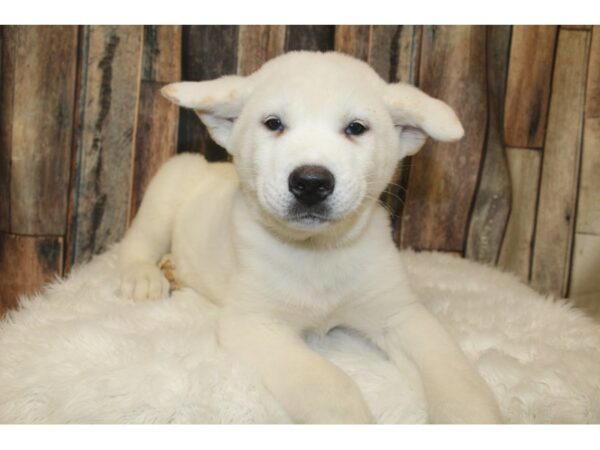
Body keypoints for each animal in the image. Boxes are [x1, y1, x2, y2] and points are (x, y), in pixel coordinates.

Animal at [117, 51, 502, 424]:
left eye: (356, 128)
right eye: (273, 123)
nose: (312, 183)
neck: (318, 253)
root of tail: (211, 166)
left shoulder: (400, 314)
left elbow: (458, 378)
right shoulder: (253, 323)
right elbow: (330, 386)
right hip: (171, 181)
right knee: (138, 240)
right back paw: (144, 277)